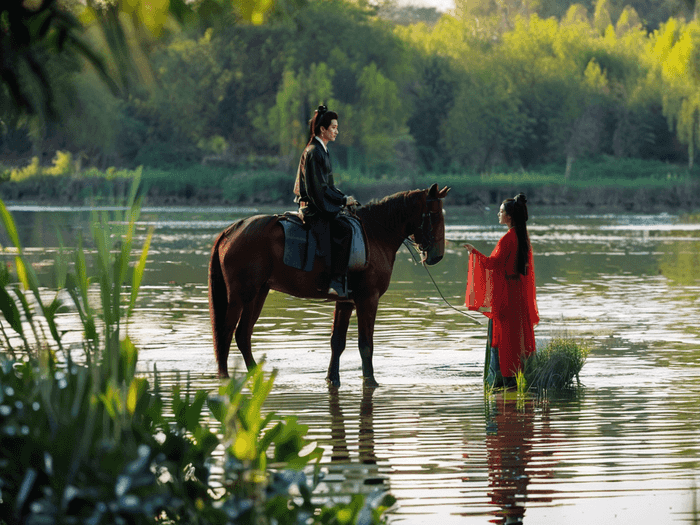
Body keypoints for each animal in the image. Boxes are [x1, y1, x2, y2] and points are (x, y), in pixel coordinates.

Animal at [209, 183, 448, 384]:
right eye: (435, 215)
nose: (437, 256)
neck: (375, 234)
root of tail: (231, 231)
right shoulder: (367, 299)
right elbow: (365, 344)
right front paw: (370, 380)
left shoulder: (346, 302)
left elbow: (337, 342)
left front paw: (332, 378)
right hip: (240, 295)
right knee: (226, 333)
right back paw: (225, 378)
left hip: (257, 294)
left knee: (242, 335)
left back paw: (254, 374)